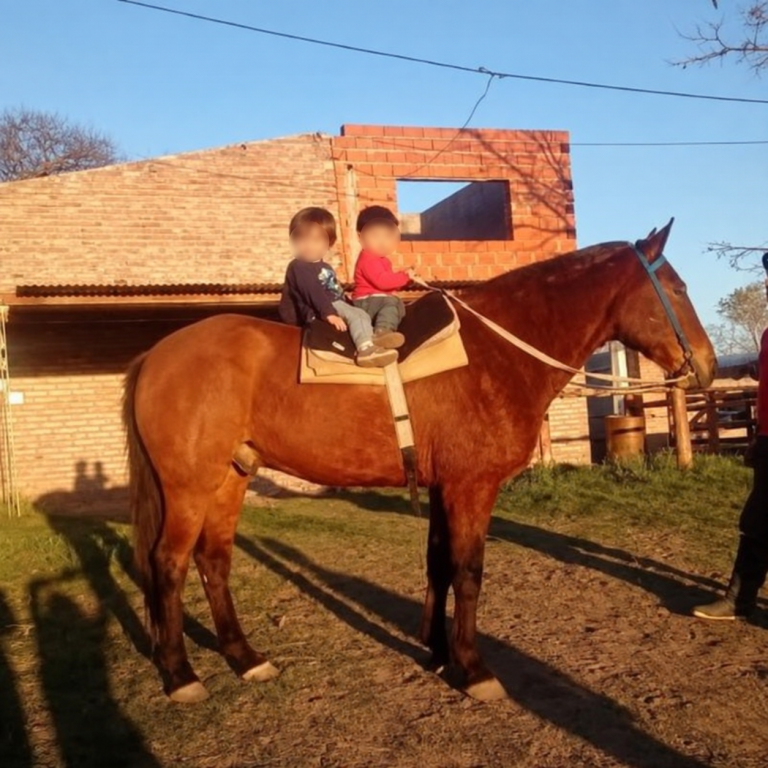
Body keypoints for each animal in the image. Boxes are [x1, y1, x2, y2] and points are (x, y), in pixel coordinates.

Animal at [123, 220, 716, 703]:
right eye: (678, 289)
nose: (707, 366)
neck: (494, 353)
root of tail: (155, 356)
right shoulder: (472, 488)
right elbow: (468, 572)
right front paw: (473, 668)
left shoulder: (443, 487)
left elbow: (438, 565)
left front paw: (437, 653)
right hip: (189, 488)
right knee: (168, 565)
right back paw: (181, 676)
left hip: (229, 480)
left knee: (214, 561)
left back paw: (245, 659)